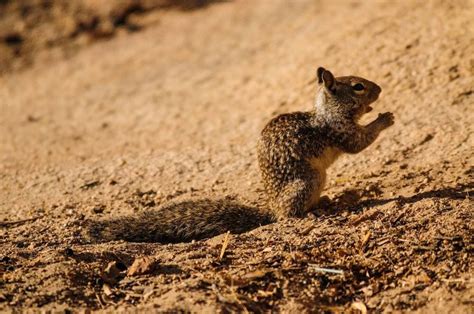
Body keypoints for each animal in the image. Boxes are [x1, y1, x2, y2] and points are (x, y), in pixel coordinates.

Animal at [87, 66, 394, 243]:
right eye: (357, 86)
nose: (380, 88)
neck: (327, 112)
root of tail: (270, 208)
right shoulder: (339, 131)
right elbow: (358, 143)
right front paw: (383, 119)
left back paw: (326, 201)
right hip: (307, 181)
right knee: (288, 215)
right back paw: (310, 214)